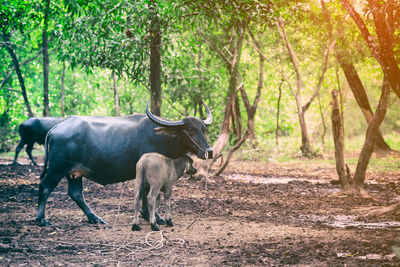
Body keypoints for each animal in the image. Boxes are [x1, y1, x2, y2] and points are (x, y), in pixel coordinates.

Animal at [36, 101, 212, 227]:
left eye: (203, 129)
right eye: (189, 130)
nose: (209, 151)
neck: (163, 137)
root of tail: (56, 128)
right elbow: (149, 195)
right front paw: (154, 217)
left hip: (74, 174)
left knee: (76, 193)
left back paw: (95, 218)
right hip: (57, 169)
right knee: (45, 187)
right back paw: (41, 219)